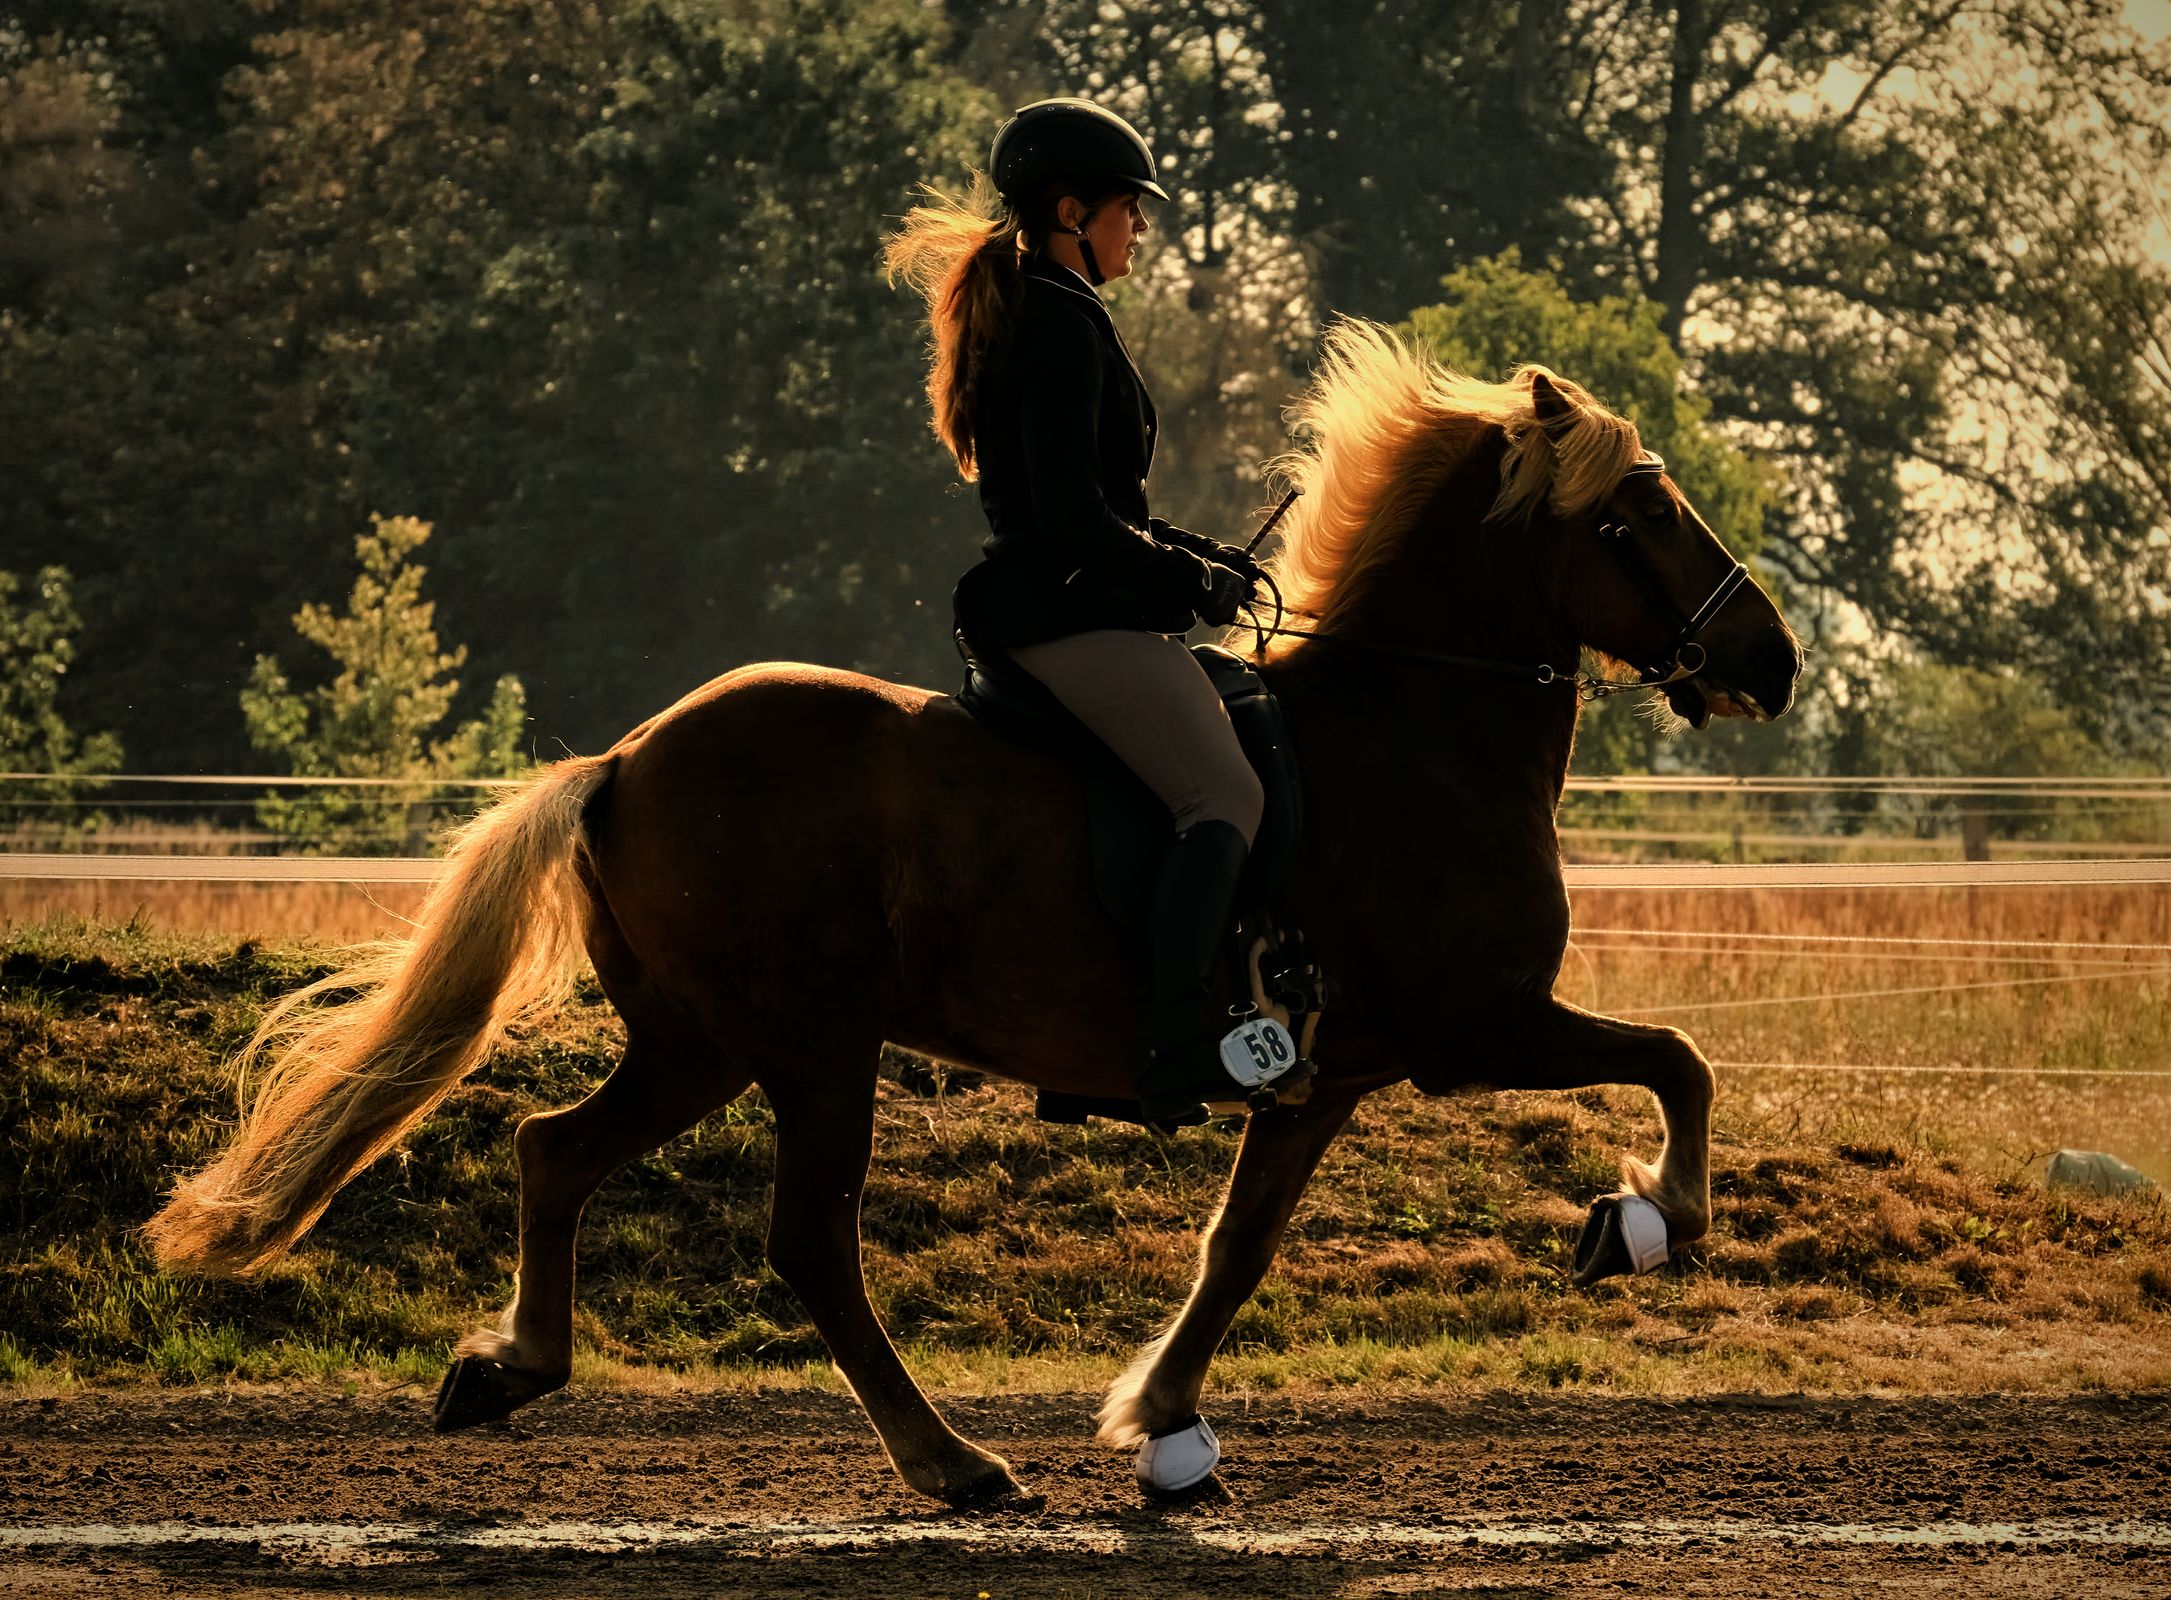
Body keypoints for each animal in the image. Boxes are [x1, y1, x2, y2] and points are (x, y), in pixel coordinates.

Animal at [146, 320, 1803, 1507]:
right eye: (1639, 513)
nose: (1770, 662)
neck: (1410, 730)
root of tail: (621, 760)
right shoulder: (1470, 1028)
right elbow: (1675, 1061)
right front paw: (1646, 1222)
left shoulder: (1324, 1074)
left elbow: (1237, 1245)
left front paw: (1163, 1424)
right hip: (808, 1049)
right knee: (808, 1242)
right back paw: (950, 1466)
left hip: (700, 1042)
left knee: (554, 1154)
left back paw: (505, 1374)